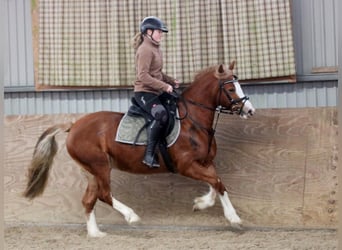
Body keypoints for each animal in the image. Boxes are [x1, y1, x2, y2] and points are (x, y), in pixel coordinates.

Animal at [23, 61, 254, 237]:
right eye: (231, 89)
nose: (250, 111)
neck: (193, 122)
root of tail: (73, 125)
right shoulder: (186, 166)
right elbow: (217, 182)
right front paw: (233, 218)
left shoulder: (206, 162)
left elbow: (217, 184)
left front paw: (202, 204)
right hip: (100, 166)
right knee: (104, 194)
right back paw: (131, 216)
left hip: (91, 171)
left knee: (89, 200)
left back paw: (96, 234)